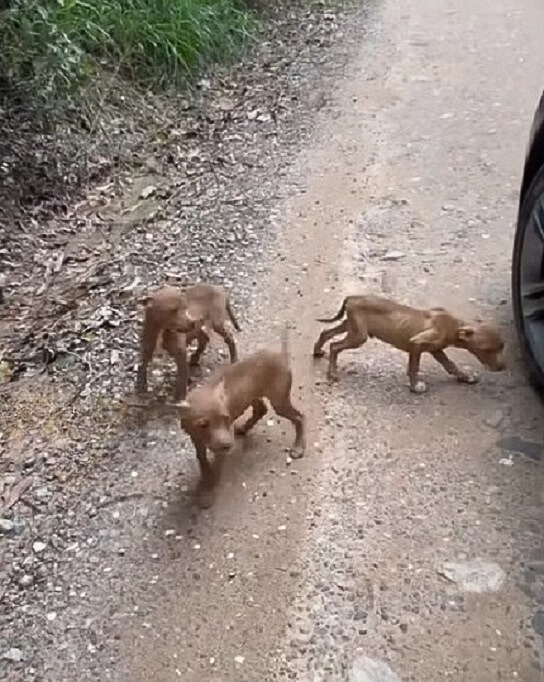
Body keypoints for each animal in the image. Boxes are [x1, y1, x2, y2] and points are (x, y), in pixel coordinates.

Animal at [312, 294, 508, 394]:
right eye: (486, 350)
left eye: (502, 346)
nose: (503, 367)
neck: (453, 325)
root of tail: (352, 297)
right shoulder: (416, 346)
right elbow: (414, 367)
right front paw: (415, 386)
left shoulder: (436, 350)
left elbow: (450, 365)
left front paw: (465, 377)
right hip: (358, 336)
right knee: (335, 346)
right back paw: (332, 373)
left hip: (351, 326)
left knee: (326, 333)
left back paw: (318, 351)